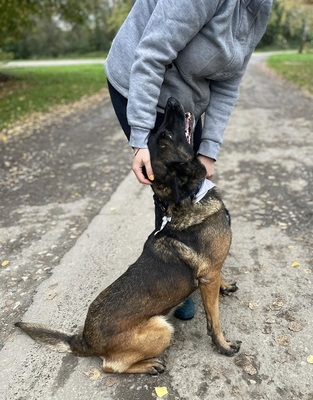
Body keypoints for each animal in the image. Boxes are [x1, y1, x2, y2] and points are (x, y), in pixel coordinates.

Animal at [14, 97, 240, 376]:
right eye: (165, 134)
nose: (170, 100)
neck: (189, 200)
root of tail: (85, 340)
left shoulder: (212, 272)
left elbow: (220, 279)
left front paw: (226, 285)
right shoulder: (208, 277)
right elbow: (214, 319)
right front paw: (222, 345)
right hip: (161, 329)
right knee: (110, 366)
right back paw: (149, 365)